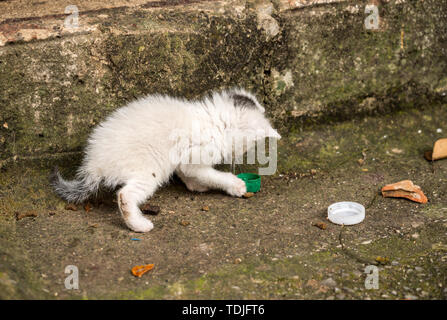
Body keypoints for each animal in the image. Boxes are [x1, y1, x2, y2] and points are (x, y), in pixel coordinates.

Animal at [51, 88, 280, 232]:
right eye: (248, 147)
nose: (237, 157)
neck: (213, 121)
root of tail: (95, 166)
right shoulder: (193, 156)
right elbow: (210, 174)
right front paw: (235, 185)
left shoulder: (180, 157)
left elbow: (186, 173)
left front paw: (196, 186)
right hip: (149, 169)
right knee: (125, 195)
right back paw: (139, 225)